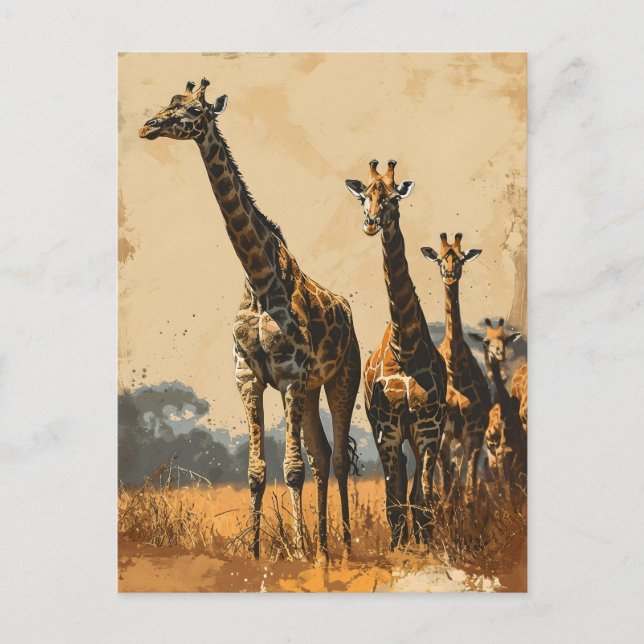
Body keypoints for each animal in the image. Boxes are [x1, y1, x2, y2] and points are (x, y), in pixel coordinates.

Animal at [140, 78, 361, 560]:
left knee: (335, 460)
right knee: (322, 454)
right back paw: (322, 545)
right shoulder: (249, 376)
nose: (148, 126)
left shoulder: (291, 374)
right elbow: (257, 471)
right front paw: (258, 553)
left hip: (341, 378)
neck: (259, 279)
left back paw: (341, 548)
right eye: (169, 102)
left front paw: (296, 553)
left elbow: (292, 468)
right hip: (310, 390)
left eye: (194, 111)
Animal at [345, 160, 447, 548]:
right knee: (400, 485)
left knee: (415, 490)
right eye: (364, 197)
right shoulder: (386, 428)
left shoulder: (428, 427)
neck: (405, 345)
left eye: (391, 197)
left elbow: (424, 498)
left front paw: (428, 549)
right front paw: (398, 549)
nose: (371, 223)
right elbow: (393, 498)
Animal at [421, 234, 491, 507]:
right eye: (441, 259)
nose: (450, 276)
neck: (456, 366)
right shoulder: (445, 434)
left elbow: (468, 491)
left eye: (461, 259)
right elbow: (448, 489)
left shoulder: (473, 433)